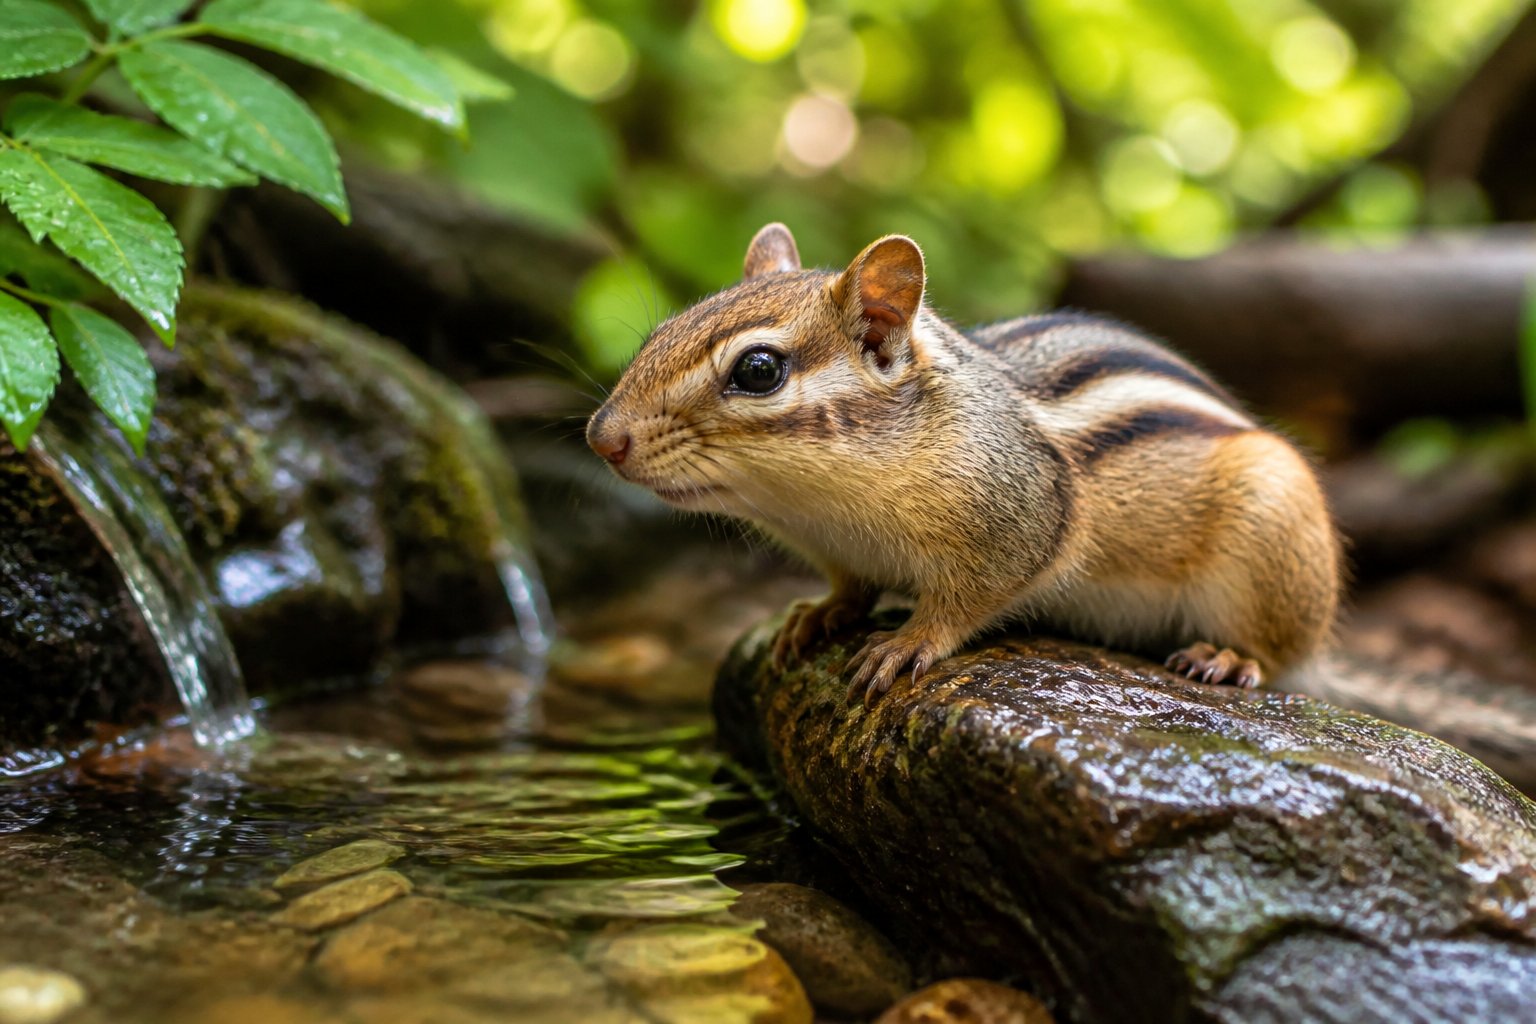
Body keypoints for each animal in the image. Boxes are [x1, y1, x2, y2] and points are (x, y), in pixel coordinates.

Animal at [587, 223, 1341, 702]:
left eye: (759, 370)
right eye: (661, 331)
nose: (602, 438)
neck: (820, 505)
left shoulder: (1020, 518)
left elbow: (969, 598)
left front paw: (908, 641)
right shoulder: (840, 550)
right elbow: (849, 589)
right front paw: (820, 613)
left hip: (1273, 531)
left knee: (1279, 651)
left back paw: (1227, 657)